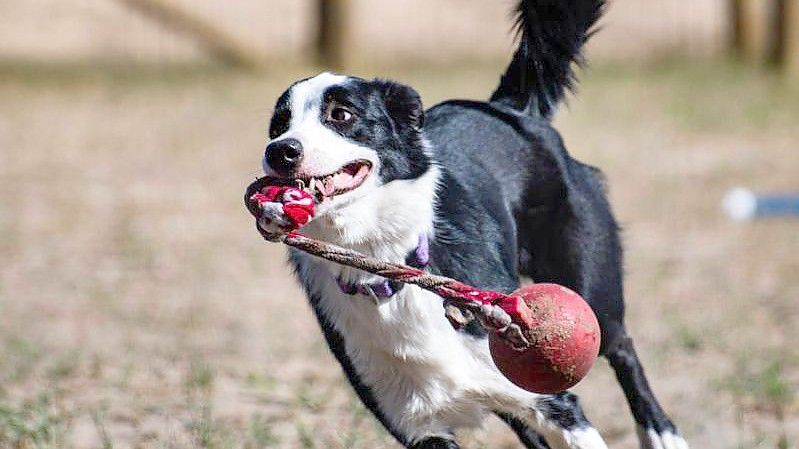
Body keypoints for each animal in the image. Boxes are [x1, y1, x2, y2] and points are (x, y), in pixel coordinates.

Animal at [247, 1, 692, 446]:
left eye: (341, 114)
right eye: (278, 126)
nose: (280, 151)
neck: (386, 269)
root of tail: (507, 108)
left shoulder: (556, 403)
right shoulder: (418, 425)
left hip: (587, 286)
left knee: (622, 346)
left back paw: (662, 432)